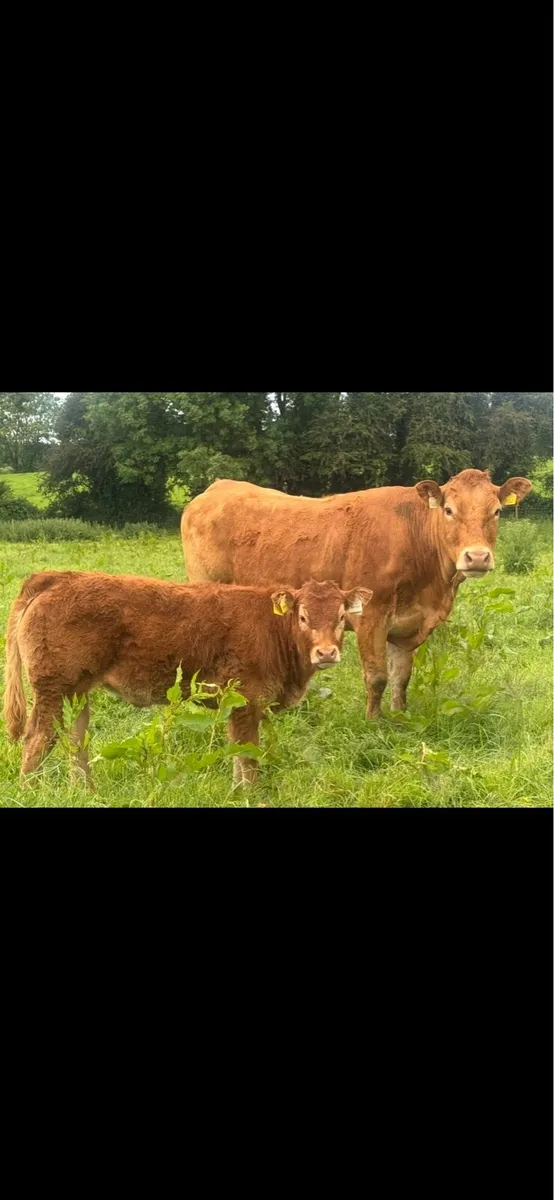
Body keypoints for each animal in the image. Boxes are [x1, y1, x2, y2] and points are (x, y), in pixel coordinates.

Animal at [4, 571, 372, 787]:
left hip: (78, 690)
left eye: (342, 617)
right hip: (52, 688)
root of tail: (57, 578)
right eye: (303, 617)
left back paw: (86, 791)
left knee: (76, 739)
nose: (326, 652)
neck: (273, 628)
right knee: (38, 739)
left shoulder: (236, 707)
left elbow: (237, 754)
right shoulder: (246, 701)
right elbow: (247, 756)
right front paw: (249, 794)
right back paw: (31, 791)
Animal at [181, 469, 532, 718]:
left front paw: (400, 716)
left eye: (497, 511)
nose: (477, 557)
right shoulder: (370, 617)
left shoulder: (407, 626)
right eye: (448, 510)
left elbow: (401, 676)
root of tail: (219, 487)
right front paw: (373, 723)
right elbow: (377, 677)